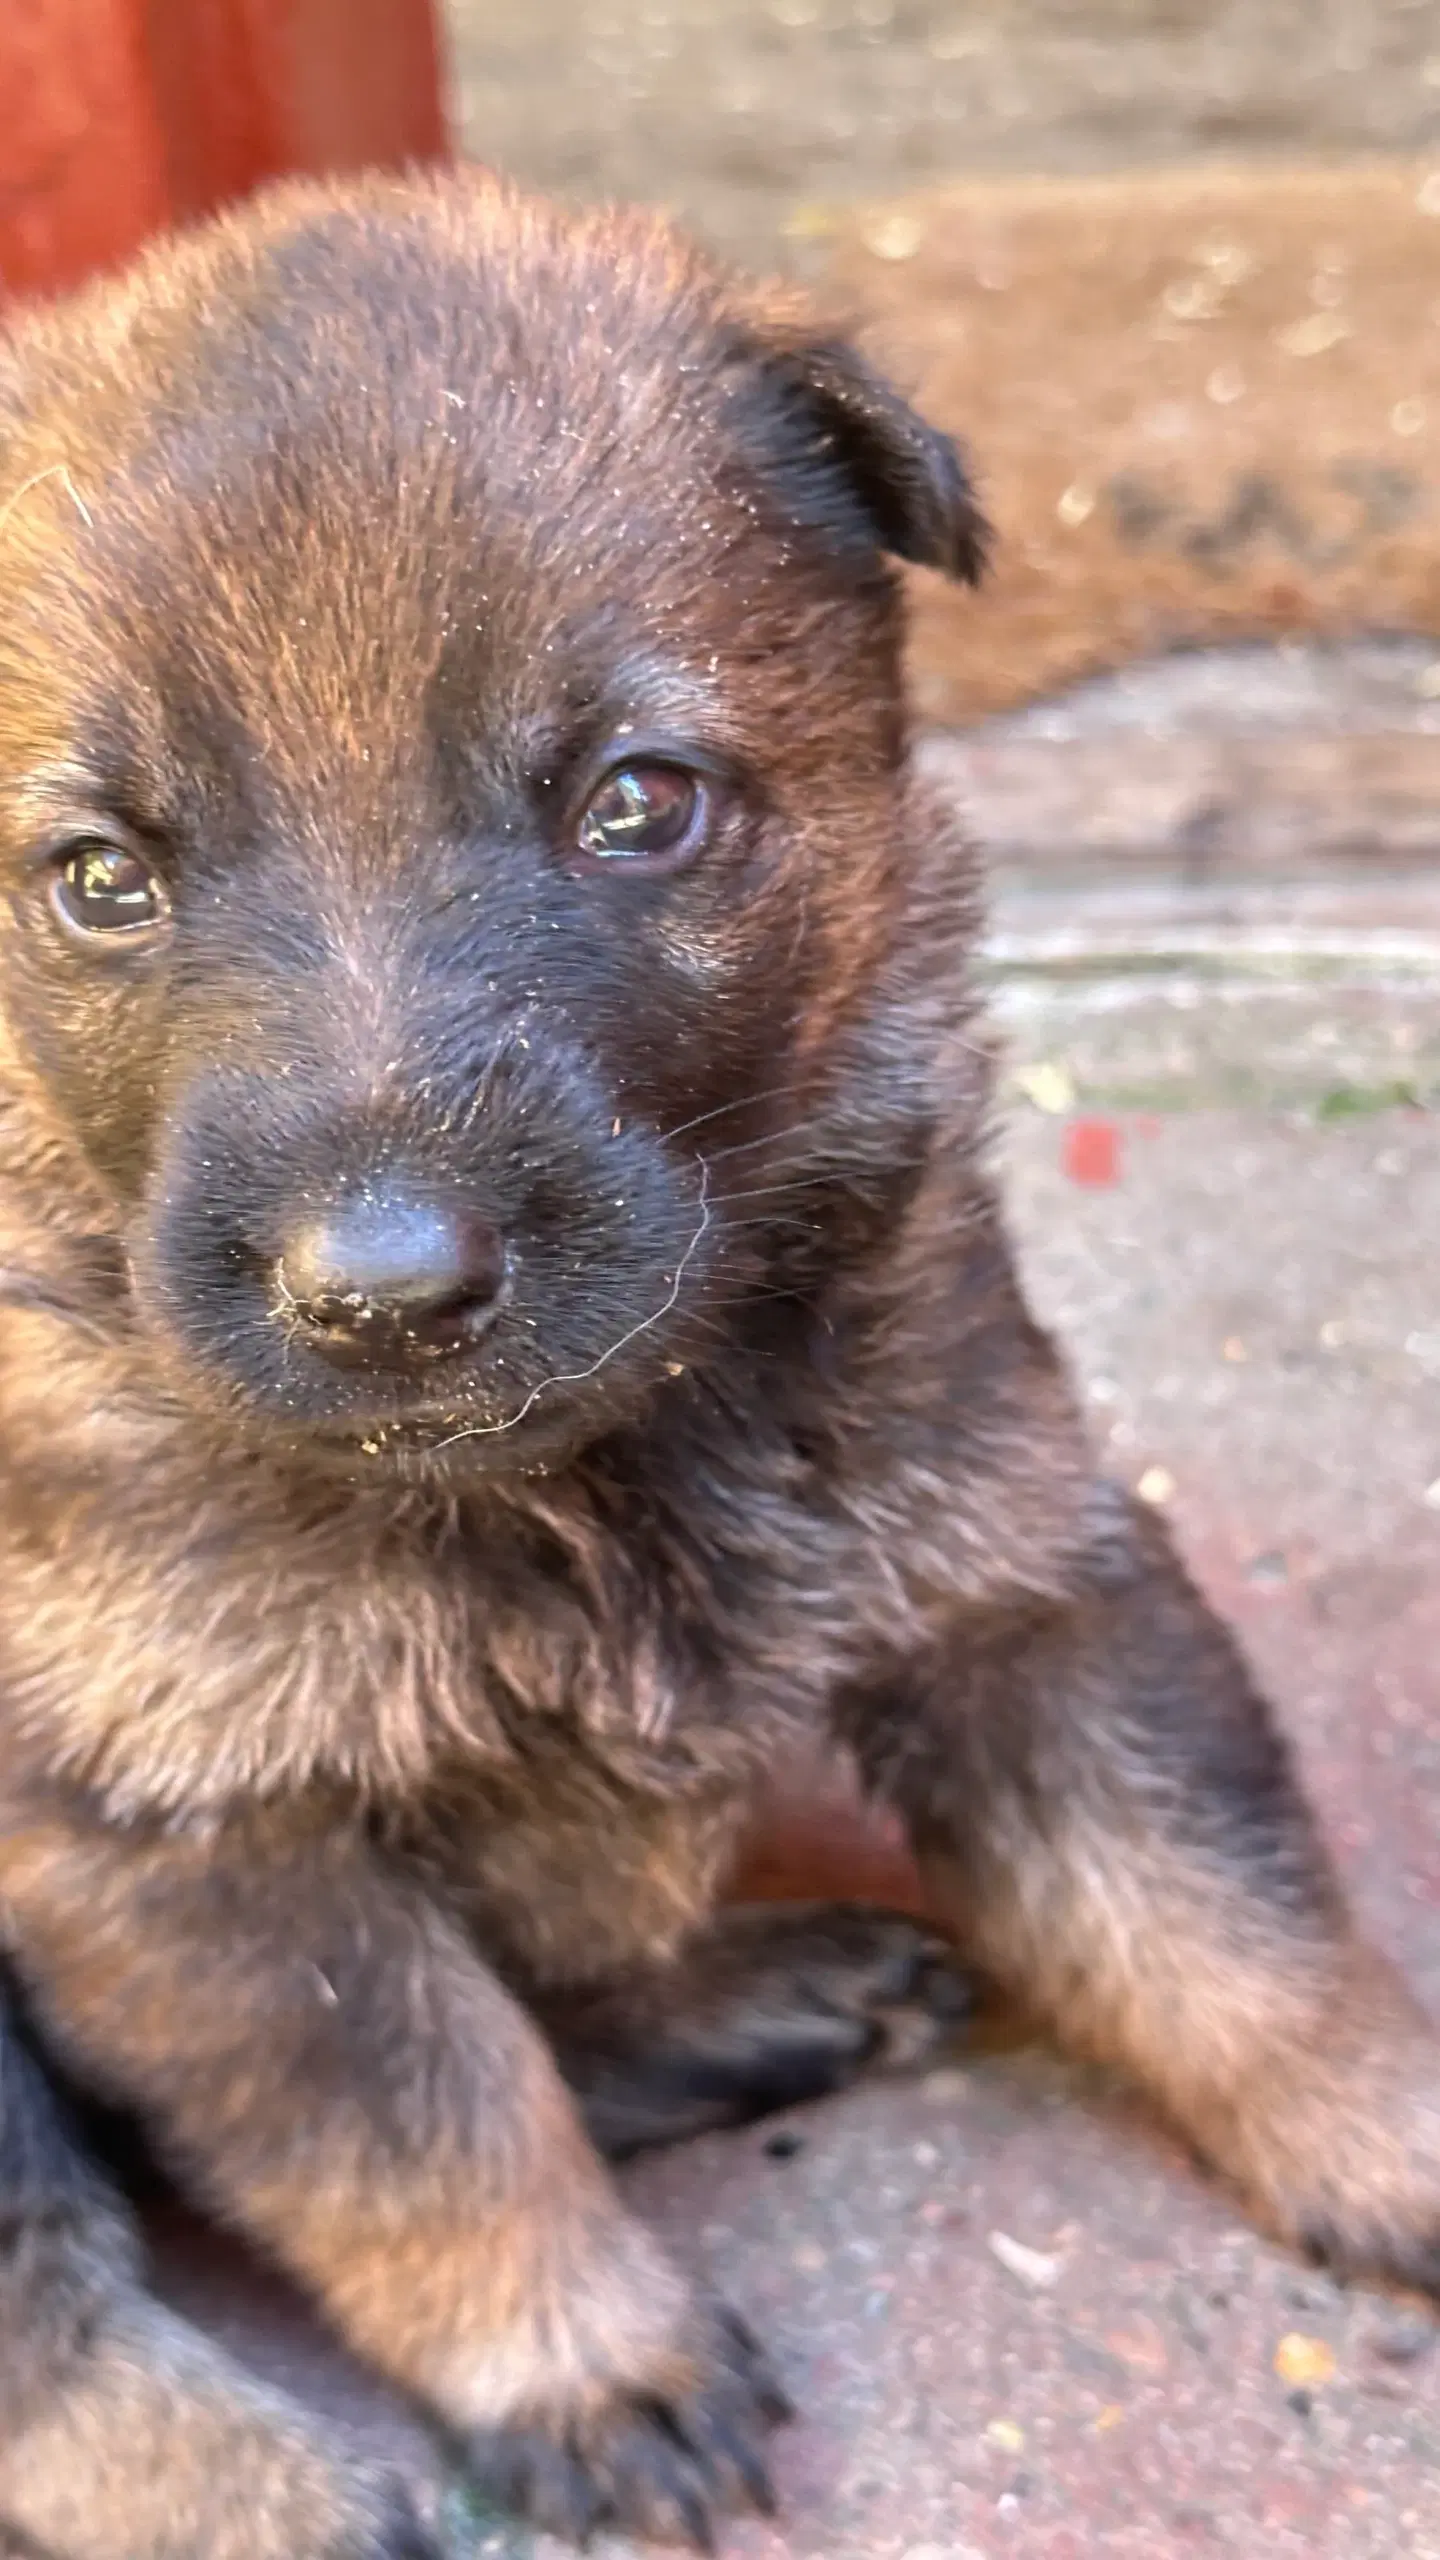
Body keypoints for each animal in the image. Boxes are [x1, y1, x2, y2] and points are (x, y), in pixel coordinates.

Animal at [0, 170, 1424, 2549]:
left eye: (636, 804)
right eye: (98, 877)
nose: (382, 1288)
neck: (572, 1477)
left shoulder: (1021, 1572)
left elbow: (1215, 1910)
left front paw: (1384, 2118)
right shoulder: (179, 1838)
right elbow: (421, 2115)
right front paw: (578, 2346)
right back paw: (258, 2483)